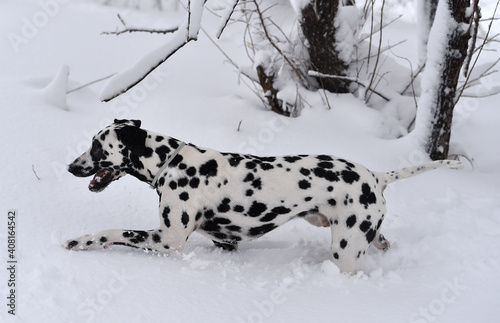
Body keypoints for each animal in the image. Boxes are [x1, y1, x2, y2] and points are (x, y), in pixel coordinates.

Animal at [64, 119, 462, 274]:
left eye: (97, 146)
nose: (70, 167)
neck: (172, 162)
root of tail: (376, 176)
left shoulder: (167, 240)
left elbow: (112, 232)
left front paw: (80, 241)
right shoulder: (225, 242)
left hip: (346, 253)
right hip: (367, 235)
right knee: (384, 243)